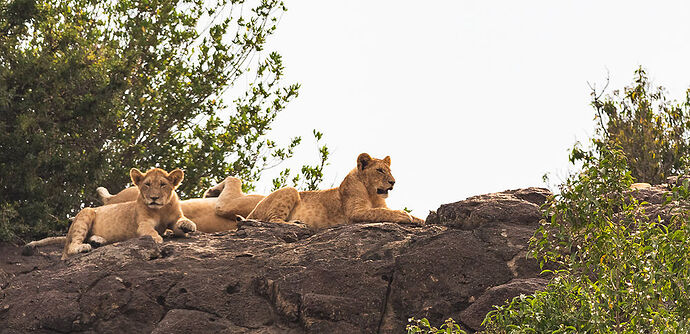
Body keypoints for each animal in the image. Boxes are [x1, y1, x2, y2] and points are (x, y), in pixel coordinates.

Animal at [245, 153, 422, 230]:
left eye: (390, 170)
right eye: (379, 170)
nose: (393, 182)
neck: (372, 193)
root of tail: (250, 213)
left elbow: (386, 211)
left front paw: (420, 219)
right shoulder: (354, 213)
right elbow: (380, 212)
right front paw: (403, 215)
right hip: (290, 189)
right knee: (272, 219)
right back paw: (297, 223)